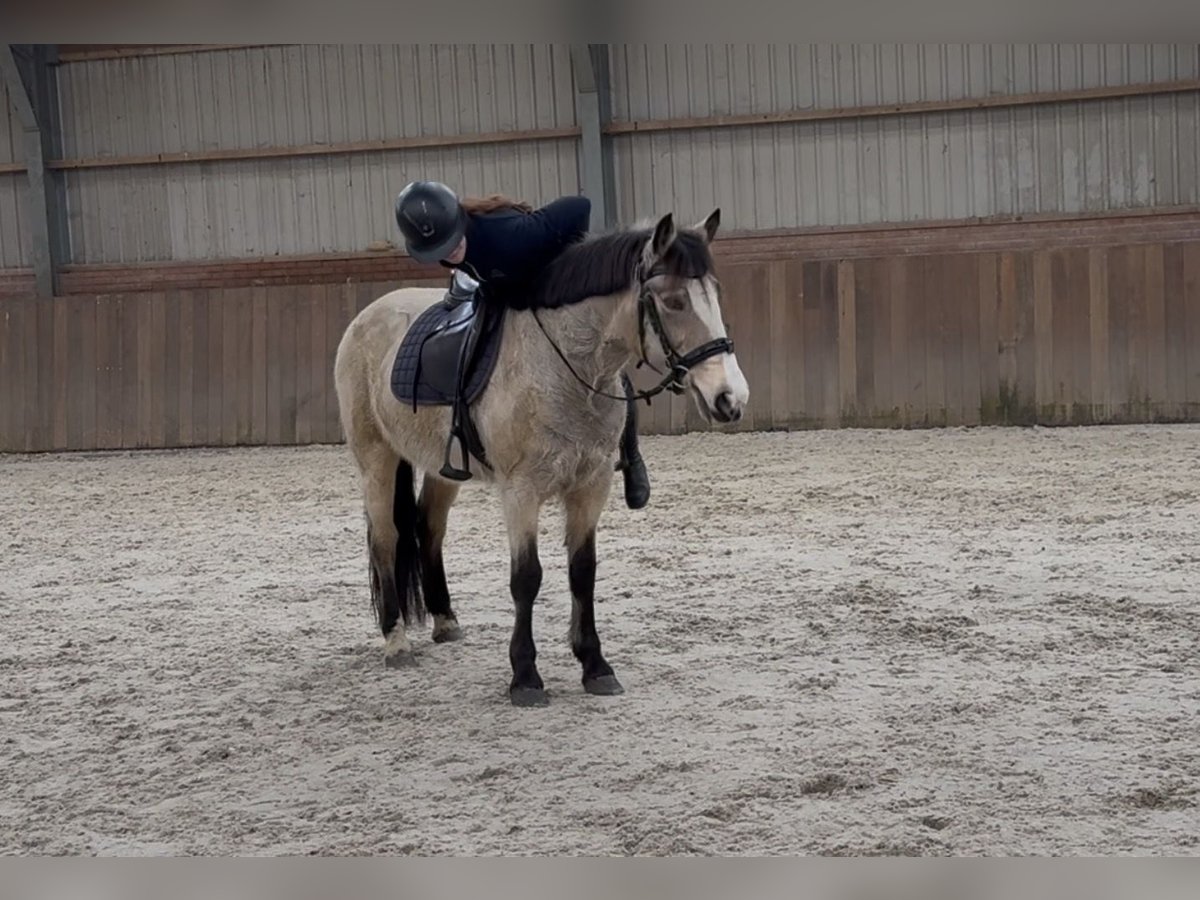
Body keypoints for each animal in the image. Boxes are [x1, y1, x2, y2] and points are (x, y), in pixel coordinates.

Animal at [333, 209, 750, 707]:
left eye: (716, 295)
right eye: (673, 301)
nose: (730, 398)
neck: (568, 366)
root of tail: (367, 316)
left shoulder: (591, 486)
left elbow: (582, 571)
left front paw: (594, 665)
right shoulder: (521, 491)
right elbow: (526, 578)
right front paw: (525, 675)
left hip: (443, 469)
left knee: (428, 528)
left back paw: (445, 619)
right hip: (376, 458)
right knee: (386, 539)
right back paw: (395, 640)